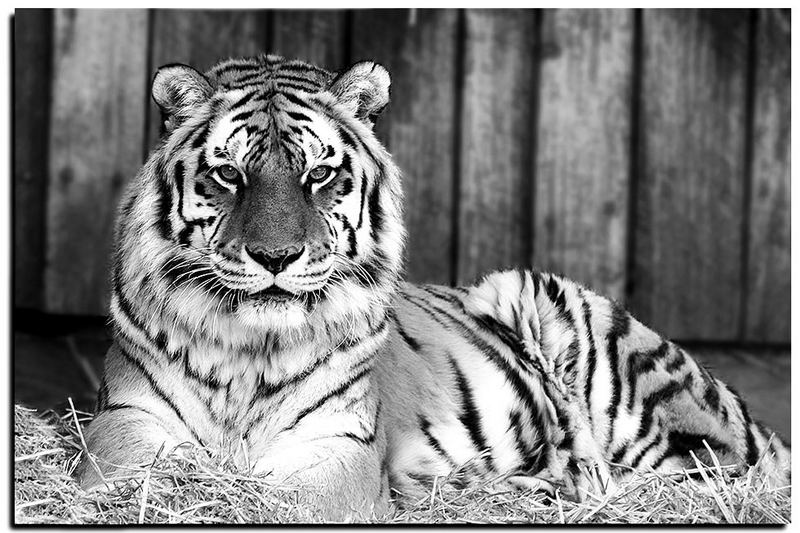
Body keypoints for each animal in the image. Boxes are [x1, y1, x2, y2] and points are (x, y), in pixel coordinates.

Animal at [73, 54, 788, 520]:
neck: (250, 351)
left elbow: (289, 502)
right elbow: (136, 477)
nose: (276, 257)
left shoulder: (340, 448)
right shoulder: (127, 421)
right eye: (229, 175)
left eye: (319, 175)